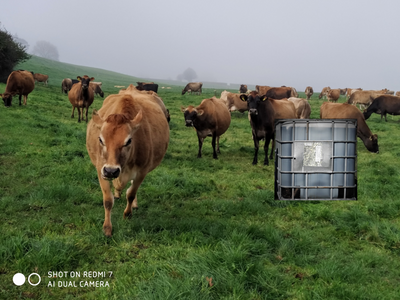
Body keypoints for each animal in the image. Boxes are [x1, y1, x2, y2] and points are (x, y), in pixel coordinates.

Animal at [86, 91, 169, 237]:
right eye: (100, 139)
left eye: (129, 141)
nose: (111, 171)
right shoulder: (100, 169)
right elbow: (108, 200)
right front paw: (107, 227)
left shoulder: (142, 171)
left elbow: (131, 194)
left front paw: (127, 214)